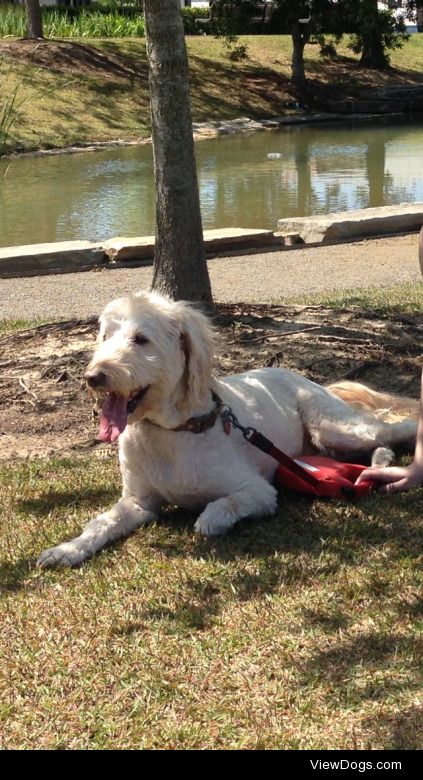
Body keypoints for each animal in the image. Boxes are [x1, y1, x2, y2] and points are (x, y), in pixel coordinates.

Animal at [36, 290, 418, 568]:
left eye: (140, 340)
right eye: (105, 336)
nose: (93, 377)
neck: (173, 433)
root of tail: (302, 376)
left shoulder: (259, 491)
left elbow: (221, 507)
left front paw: (210, 520)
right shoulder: (138, 502)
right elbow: (101, 524)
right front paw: (68, 549)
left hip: (333, 426)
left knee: (394, 429)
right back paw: (379, 464)